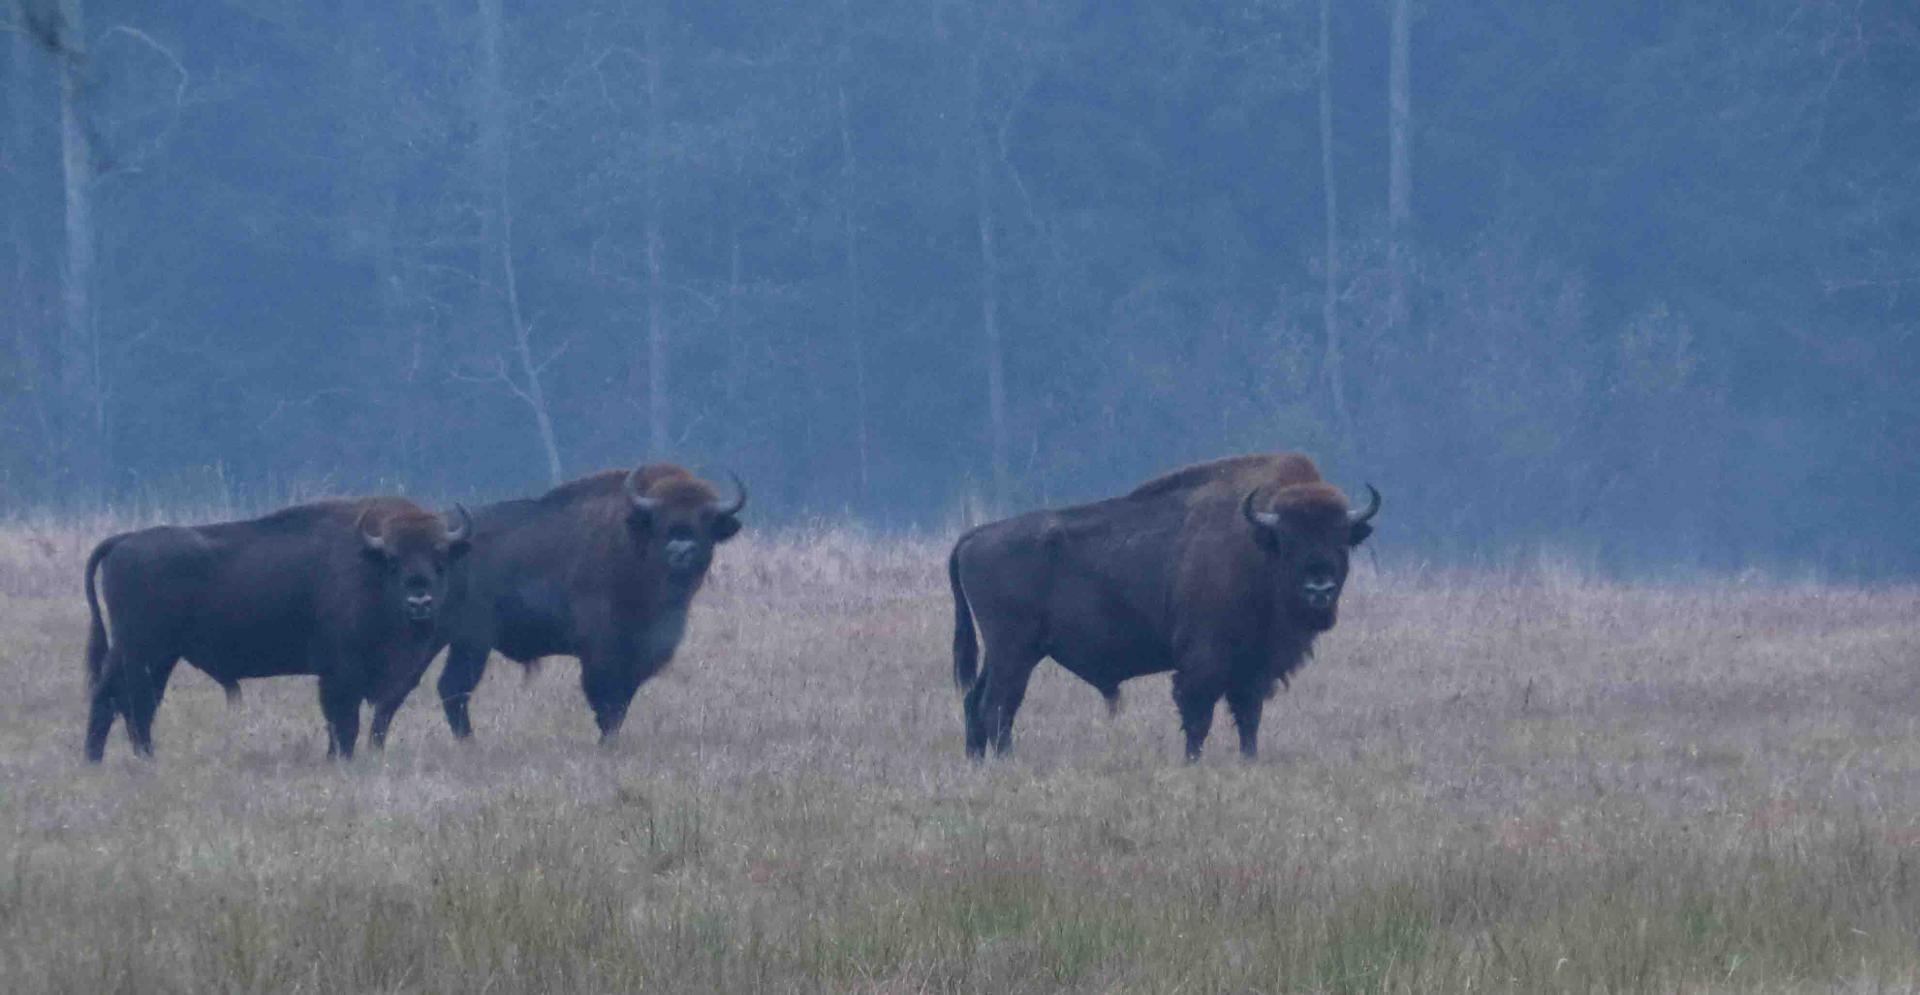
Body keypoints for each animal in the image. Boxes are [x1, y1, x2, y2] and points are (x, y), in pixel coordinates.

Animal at [81, 499, 472, 764]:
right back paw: (122, 759)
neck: (368, 565)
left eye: (440, 559)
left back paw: (116, 759)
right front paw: (339, 759)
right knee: (124, 700)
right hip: (143, 650)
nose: (419, 602)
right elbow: (343, 721)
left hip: (155, 655)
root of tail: (124, 540)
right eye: (393, 561)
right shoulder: (340, 673)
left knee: (125, 702)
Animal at [433, 464, 741, 745]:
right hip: (468, 642)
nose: (681, 549)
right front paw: (607, 743)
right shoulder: (601, 651)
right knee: (454, 687)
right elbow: (606, 700)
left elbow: (622, 700)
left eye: (707, 519)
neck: (633, 542)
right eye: (659, 518)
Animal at [948, 455, 1382, 764]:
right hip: (1013, 651)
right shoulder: (1204, 661)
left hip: (1008, 652)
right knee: (997, 704)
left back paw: (977, 761)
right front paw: (1192, 762)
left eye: (1340, 539)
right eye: (1289, 539)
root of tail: (976, 535)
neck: (1257, 544)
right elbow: (1198, 715)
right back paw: (1005, 760)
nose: (1318, 589)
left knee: (976, 701)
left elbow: (1249, 716)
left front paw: (1249, 759)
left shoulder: (1253, 666)